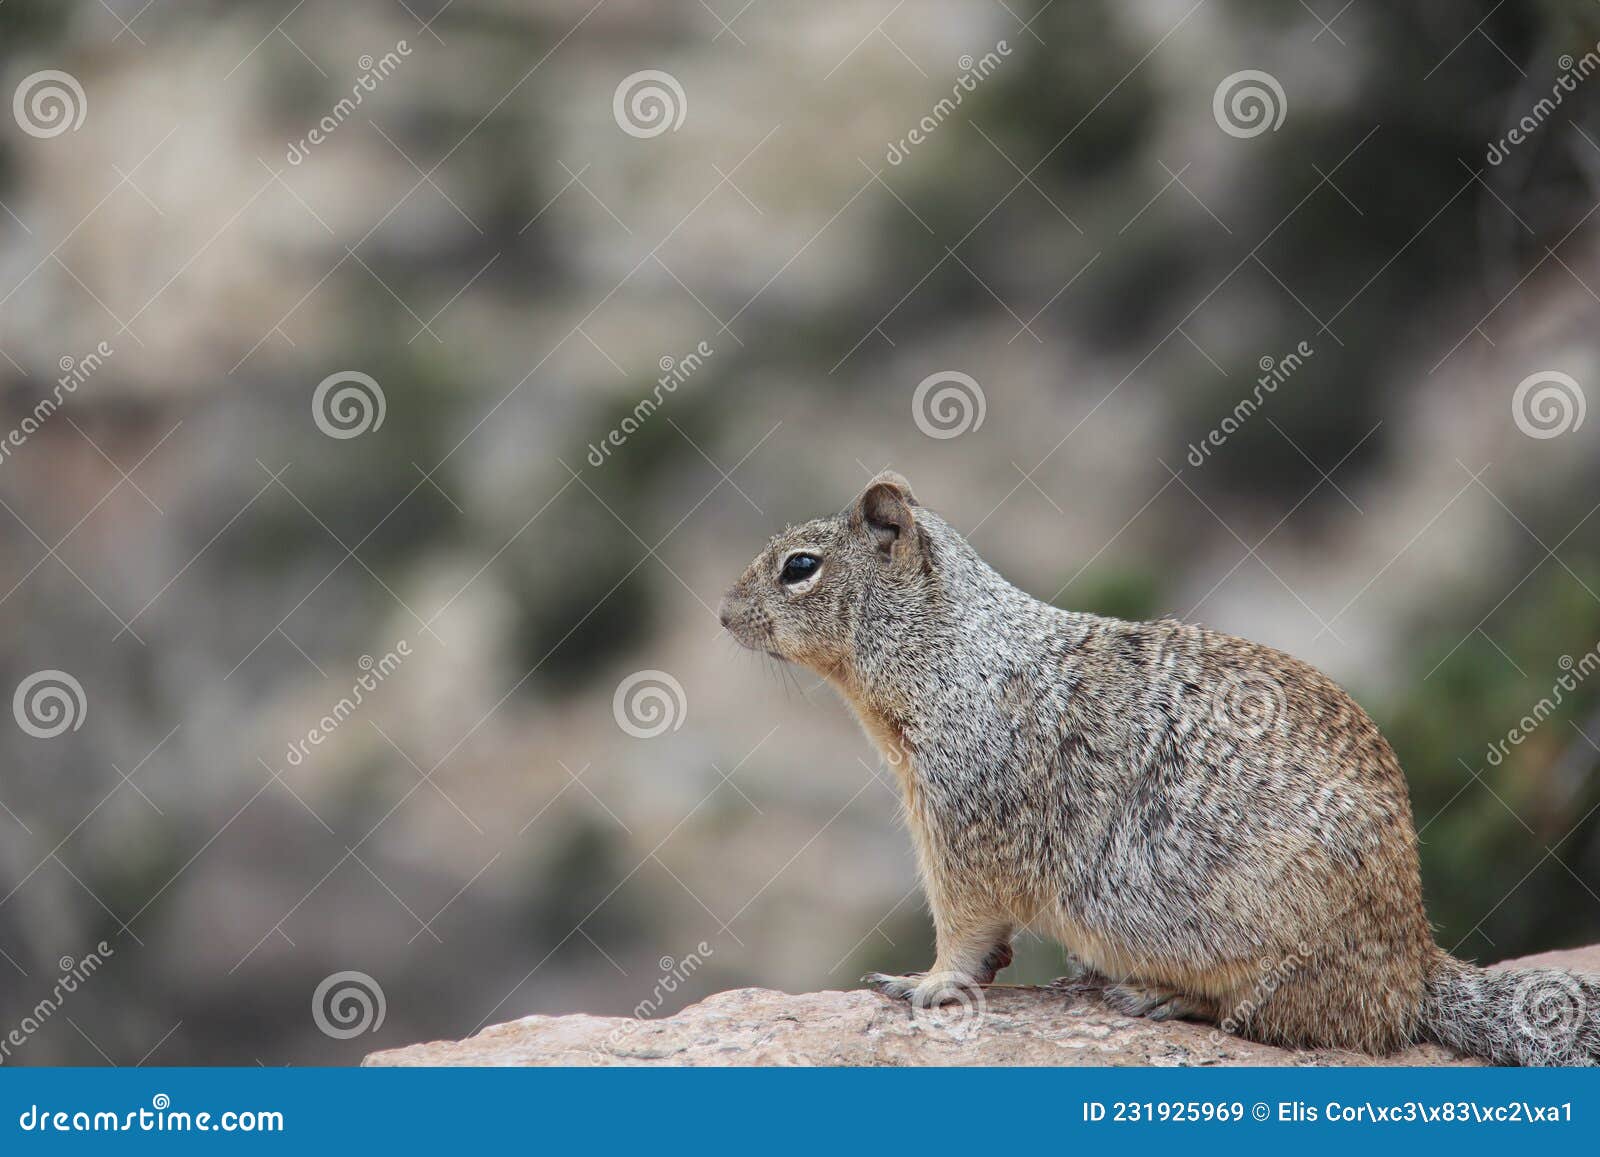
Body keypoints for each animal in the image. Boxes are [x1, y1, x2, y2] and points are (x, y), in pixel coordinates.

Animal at [723, 473, 1600, 1068]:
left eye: (799, 566)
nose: (722, 613)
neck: (950, 647)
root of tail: (1413, 959)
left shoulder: (965, 814)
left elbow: (963, 920)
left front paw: (923, 982)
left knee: (1297, 1017)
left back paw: (1160, 991)